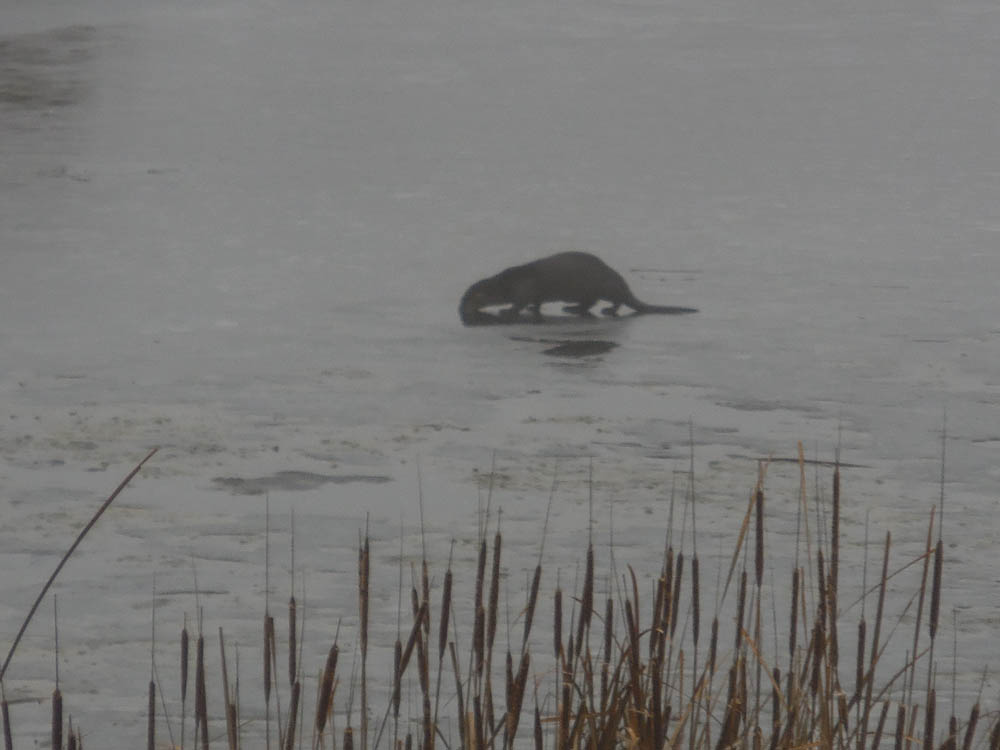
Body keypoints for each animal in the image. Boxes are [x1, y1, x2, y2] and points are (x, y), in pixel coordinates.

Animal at [459, 251, 697, 325]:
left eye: (466, 299)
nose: (460, 309)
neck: (507, 283)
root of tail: (621, 282)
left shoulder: (523, 288)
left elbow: (519, 303)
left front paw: (506, 311)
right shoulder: (534, 293)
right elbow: (536, 302)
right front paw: (532, 310)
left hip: (604, 286)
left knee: (615, 302)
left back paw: (605, 310)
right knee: (588, 304)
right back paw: (571, 308)